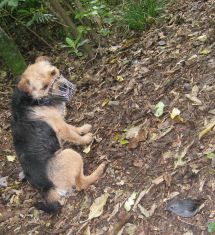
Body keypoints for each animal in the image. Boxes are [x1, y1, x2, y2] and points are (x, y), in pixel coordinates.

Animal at [11, 56, 106, 213]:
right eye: (44, 87)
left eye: (53, 72)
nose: (63, 87)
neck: (33, 99)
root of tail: (48, 188)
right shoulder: (60, 126)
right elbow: (73, 135)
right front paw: (85, 138)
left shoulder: (60, 121)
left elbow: (72, 127)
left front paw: (82, 128)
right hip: (71, 155)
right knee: (80, 184)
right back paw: (99, 170)